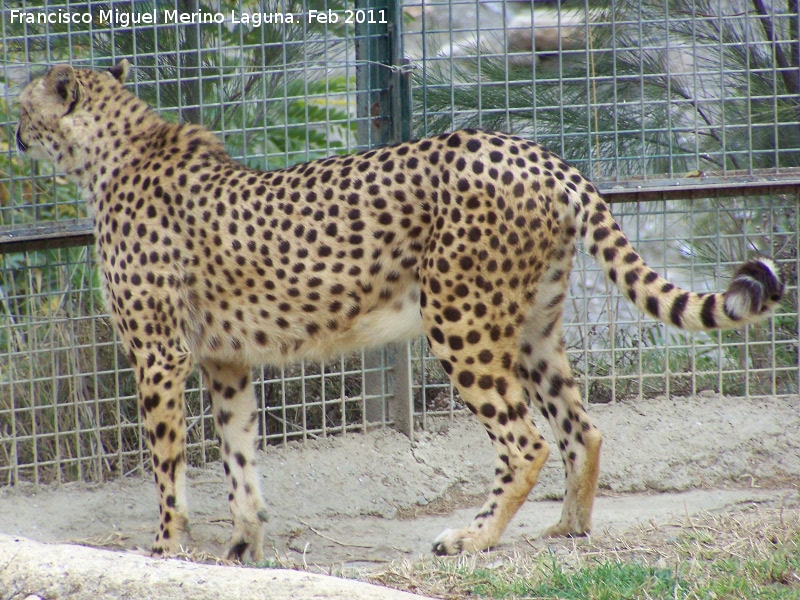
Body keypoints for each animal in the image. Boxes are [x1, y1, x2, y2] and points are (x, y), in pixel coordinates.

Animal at [15, 61, 784, 556]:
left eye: (22, 108)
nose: (14, 132)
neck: (111, 154)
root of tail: (539, 153)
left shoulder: (159, 354)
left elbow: (168, 464)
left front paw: (166, 546)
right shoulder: (226, 360)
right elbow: (238, 456)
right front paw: (244, 545)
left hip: (461, 325)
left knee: (526, 441)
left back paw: (474, 536)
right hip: (532, 328)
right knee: (582, 427)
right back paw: (569, 526)